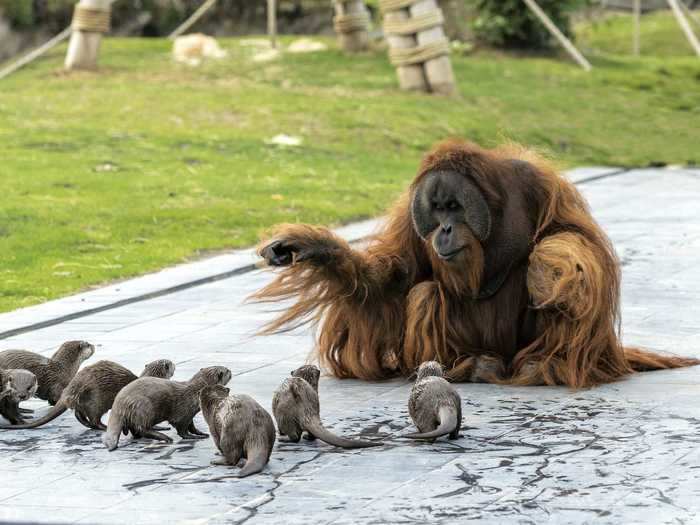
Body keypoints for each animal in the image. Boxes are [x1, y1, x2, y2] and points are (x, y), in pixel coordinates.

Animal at [0, 360, 175, 430]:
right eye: (170, 363)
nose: (173, 363)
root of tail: (71, 389)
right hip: (97, 399)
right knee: (94, 418)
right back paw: (103, 427)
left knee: (79, 414)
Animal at [102, 364, 232, 450]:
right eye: (227, 371)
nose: (231, 370)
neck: (195, 393)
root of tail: (119, 403)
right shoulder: (183, 412)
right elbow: (182, 429)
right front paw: (192, 437)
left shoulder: (190, 413)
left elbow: (192, 426)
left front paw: (201, 433)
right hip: (144, 407)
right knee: (142, 428)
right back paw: (164, 437)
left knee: (135, 429)